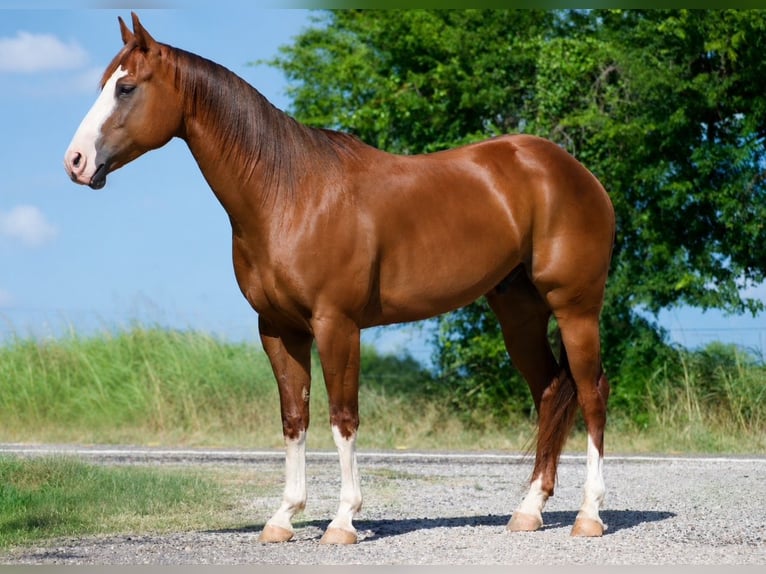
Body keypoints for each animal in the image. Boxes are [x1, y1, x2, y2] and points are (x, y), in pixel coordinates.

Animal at [64, 13, 615, 544]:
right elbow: (294, 420)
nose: (75, 162)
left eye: (126, 87)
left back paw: (588, 515)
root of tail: (574, 172)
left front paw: (343, 521)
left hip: (575, 308)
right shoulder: (279, 329)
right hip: (519, 313)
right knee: (550, 392)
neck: (288, 193)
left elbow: (342, 418)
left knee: (591, 392)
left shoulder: (337, 324)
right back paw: (529, 511)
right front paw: (283, 518)